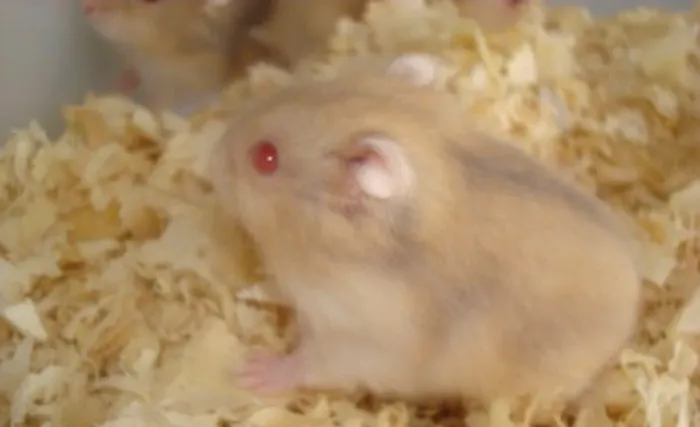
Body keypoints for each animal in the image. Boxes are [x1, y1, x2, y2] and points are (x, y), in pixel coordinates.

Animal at [209, 53, 641, 408]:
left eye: (265, 158)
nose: (212, 153)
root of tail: (631, 313)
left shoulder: (361, 337)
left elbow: (312, 361)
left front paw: (252, 370)